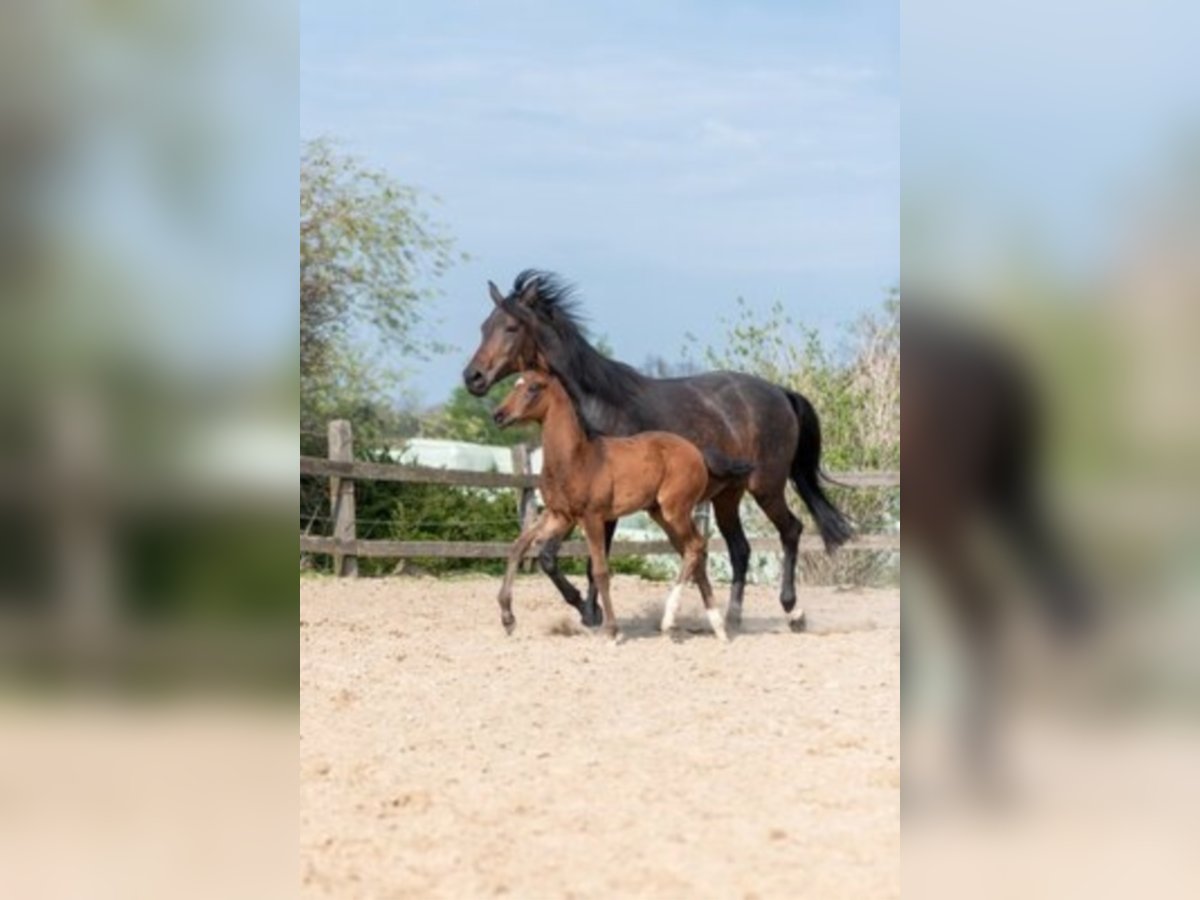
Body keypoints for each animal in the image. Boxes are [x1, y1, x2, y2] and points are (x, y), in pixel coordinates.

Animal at [489, 372, 748, 643]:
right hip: (662, 515)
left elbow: (601, 571)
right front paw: (508, 618)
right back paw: (718, 628)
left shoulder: (592, 517)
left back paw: (670, 621)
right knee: (694, 552)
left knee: (696, 547)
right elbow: (518, 547)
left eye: (533, 388)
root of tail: (697, 452)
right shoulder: (558, 516)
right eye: (515, 385)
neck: (576, 459)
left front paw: (612, 630)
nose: (499, 415)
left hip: (675, 511)